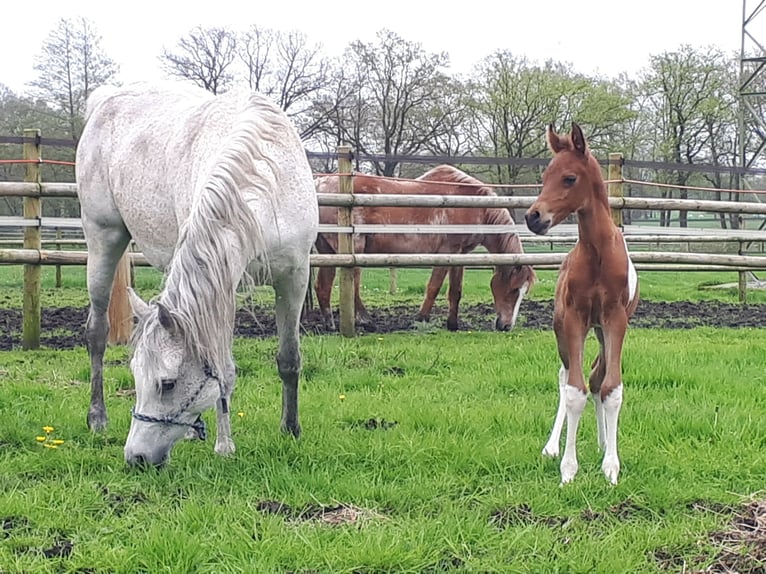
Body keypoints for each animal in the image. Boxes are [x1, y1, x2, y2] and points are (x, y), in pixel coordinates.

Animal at [76, 82, 320, 468]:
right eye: (136, 375)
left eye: (168, 383)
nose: (136, 457)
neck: (268, 180)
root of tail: (106, 100)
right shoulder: (224, 286)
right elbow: (223, 368)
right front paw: (225, 445)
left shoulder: (294, 277)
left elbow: (289, 359)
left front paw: (290, 429)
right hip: (103, 239)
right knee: (96, 332)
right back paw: (97, 417)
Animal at [316, 164, 536, 330]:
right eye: (514, 290)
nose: (506, 326)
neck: (471, 205)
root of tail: (319, 185)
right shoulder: (447, 251)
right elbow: (434, 287)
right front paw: (421, 318)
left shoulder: (460, 254)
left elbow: (455, 291)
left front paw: (452, 324)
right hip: (354, 249)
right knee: (352, 286)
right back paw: (366, 321)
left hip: (327, 251)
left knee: (323, 286)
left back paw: (329, 324)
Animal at [528, 125, 640, 486]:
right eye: (544, 176)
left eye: (569, 178)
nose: (533, 217)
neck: (598, 252)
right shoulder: (574, 318)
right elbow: (574, 392)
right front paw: (568, 468)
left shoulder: (615, 320)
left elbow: (610, 388)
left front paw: (611, 466)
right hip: (562, 328)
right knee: (566, 376)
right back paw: (551, 447)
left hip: (602, 330)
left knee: (596, 377)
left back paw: (604, 442)